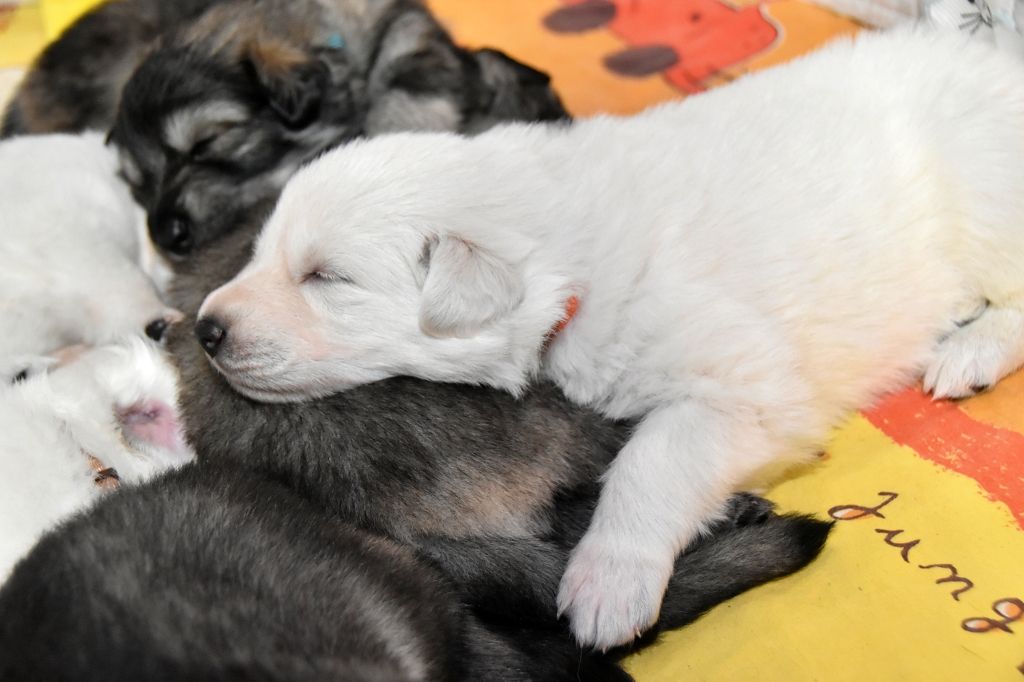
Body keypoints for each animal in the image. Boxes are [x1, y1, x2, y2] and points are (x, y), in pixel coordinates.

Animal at [195, 27, 1024, 648]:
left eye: (326, 277)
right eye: (262, 252)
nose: (203, 329)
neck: (571, 262)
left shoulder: (740, 384)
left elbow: (649, 461)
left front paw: (607, 583)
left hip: (984, 195)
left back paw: (969, 349)